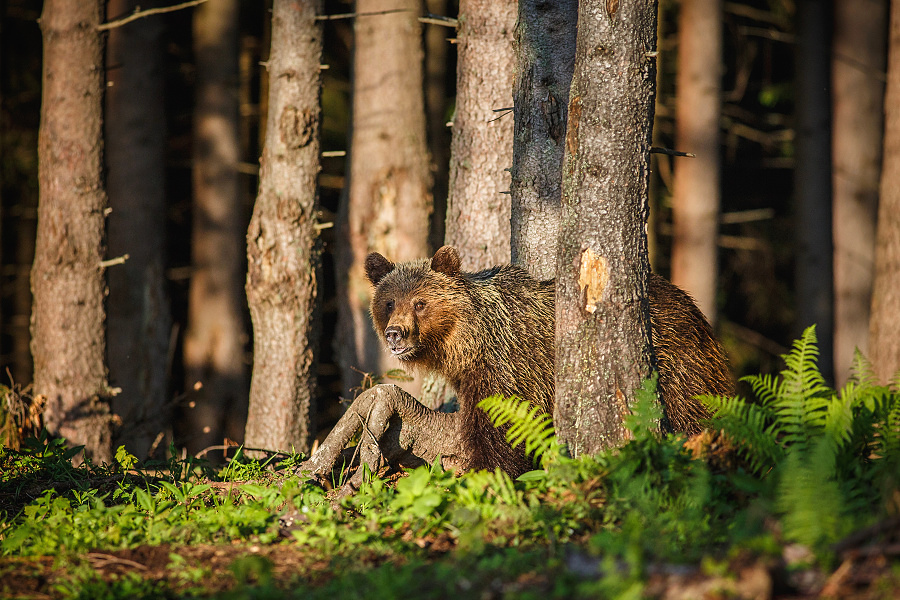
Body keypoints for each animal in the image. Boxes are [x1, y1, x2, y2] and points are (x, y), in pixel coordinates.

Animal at [364, 246, 732, 476]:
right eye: (389, 302)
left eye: (420, 303)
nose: (395, 334)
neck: (466, 343)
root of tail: (690, 304)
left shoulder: (510, 366)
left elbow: (502, 428)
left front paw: (485, 471)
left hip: (676, 361)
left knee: (691, 409)